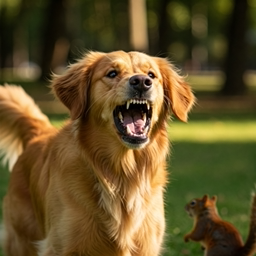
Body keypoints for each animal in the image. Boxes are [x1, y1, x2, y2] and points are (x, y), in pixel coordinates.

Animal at [0, 50, 192, 256]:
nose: (141, 81)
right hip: (21, 239)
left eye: (151, 75)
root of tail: (39, 133)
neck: (120, 174)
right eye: (112, 74)